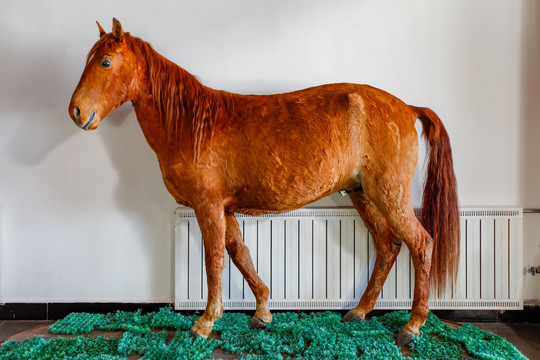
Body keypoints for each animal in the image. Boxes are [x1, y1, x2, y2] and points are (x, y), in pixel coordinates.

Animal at [69, 19, 458, 346]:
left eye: (105, 62)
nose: (76, 111)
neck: (192, 125)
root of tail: (407, 108)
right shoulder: (224, 208)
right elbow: (240, 254)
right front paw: (262, 312)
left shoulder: (208, 206)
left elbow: (214, 259)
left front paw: (206, 321)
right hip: (363, 194)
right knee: (388, 247)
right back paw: (359, 311)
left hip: (389, 195)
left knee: (421, 244)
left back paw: (413, 325)